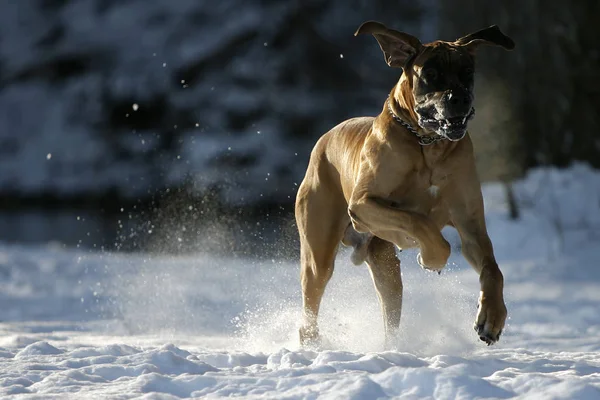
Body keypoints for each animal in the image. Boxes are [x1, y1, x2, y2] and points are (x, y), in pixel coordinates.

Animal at [296, 21, 516, 346]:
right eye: (430, 75)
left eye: (467, 72)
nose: (460, 99)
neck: (428, 144)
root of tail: (322, 140)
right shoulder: (363, 204)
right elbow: (418, 221)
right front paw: (430, 258)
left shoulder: (470, 225)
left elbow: (492, 269)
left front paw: (491, 318)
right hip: (318, 250)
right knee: (313, 295)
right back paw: (311, 342)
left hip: (384, 265)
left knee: (390, 312)